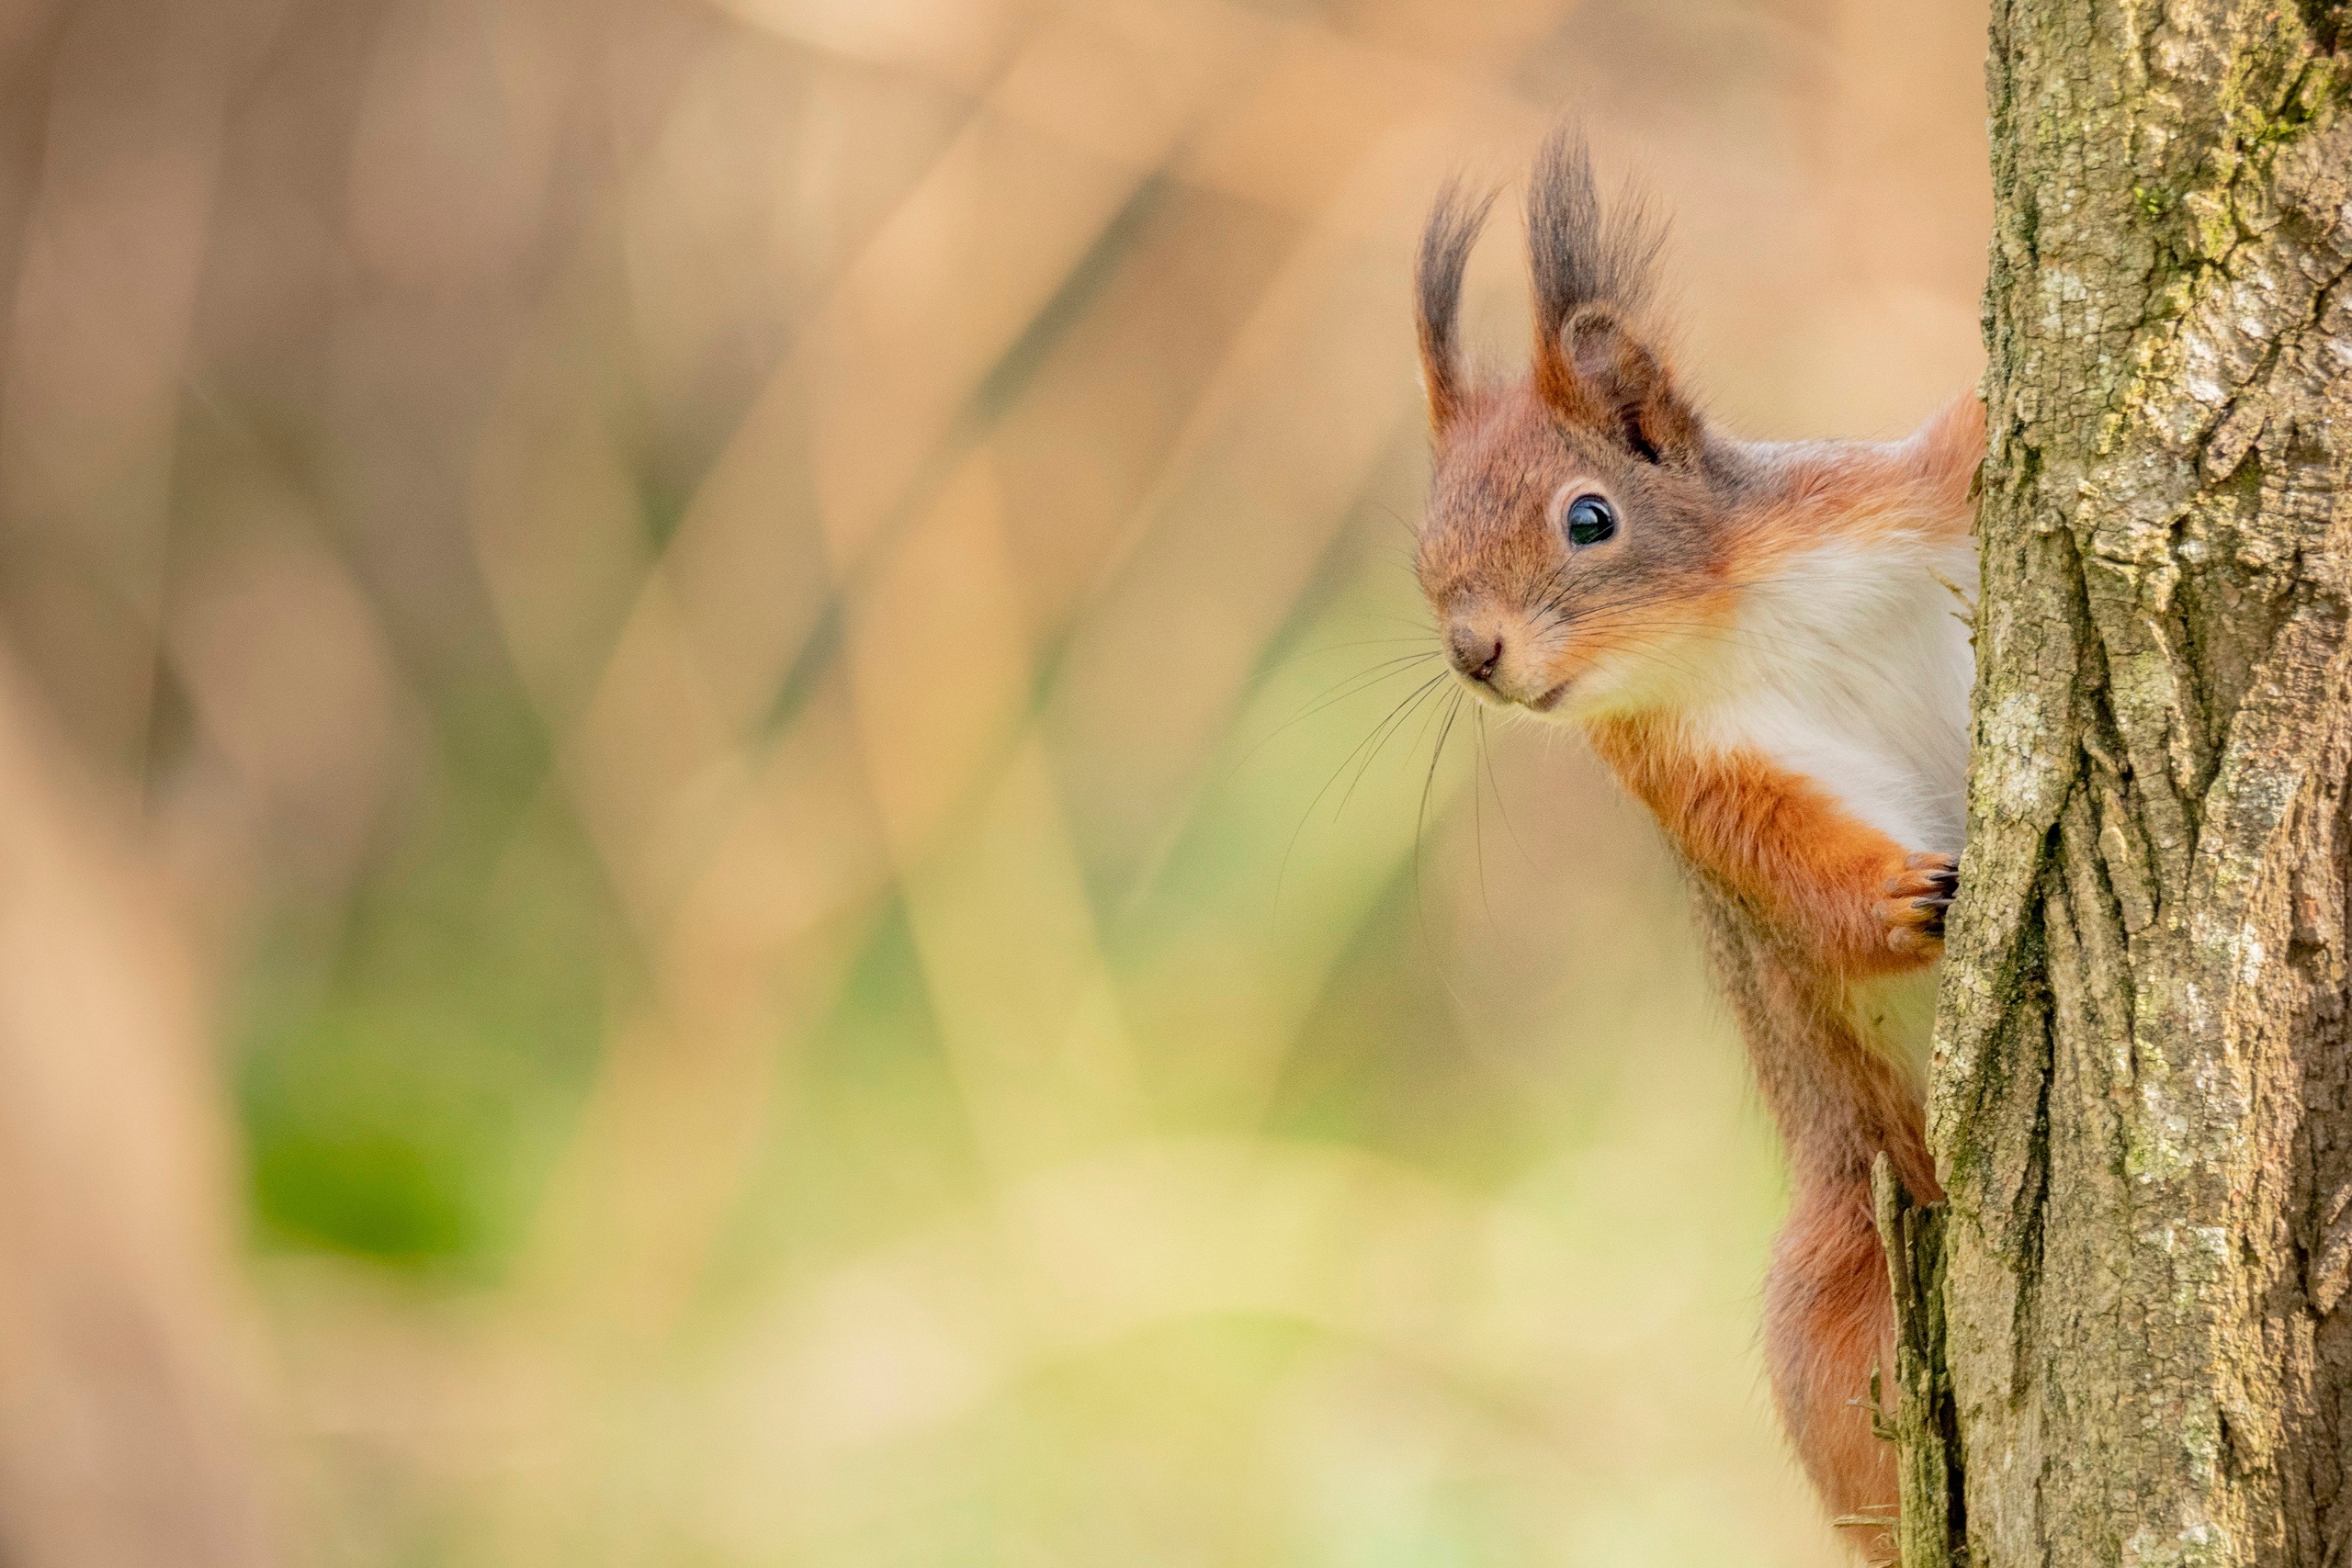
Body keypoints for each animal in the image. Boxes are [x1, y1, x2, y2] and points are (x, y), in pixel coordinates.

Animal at [1411, 129, 1984, 1551]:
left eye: (1590, 517)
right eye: (1423, 548)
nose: (1475, 653)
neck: (1724, 620)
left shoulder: (1879, 501)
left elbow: (1958, 451)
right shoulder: (1698, 778)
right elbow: (1788, 869)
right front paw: (1904, 895)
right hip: (1839, 1295)